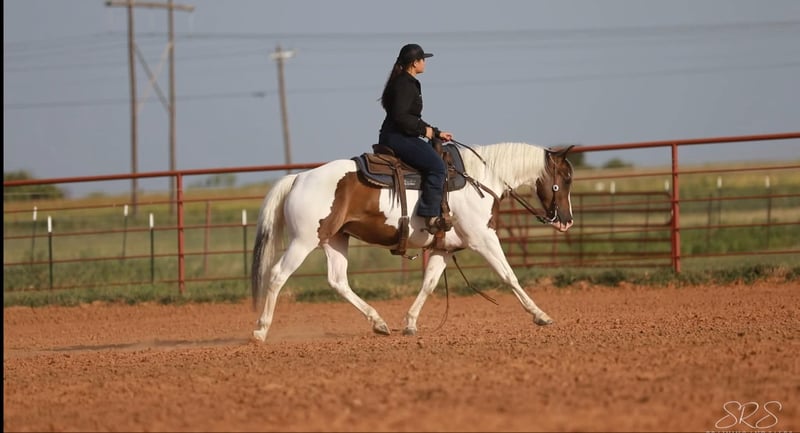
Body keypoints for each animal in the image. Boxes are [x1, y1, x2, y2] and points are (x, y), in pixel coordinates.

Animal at [250, 142, 575, 342]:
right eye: (567, 178)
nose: (567, 220)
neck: (480, 180)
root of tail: (298, 177)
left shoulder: (445, 249)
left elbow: (429, 284)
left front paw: (409, 323)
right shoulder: (483, 239)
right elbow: (509, 275)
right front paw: (540, 315)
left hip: (335, 240)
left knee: (338, 281)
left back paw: (379, 323)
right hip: (303, 241)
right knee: (277, 276)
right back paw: (261, 330)